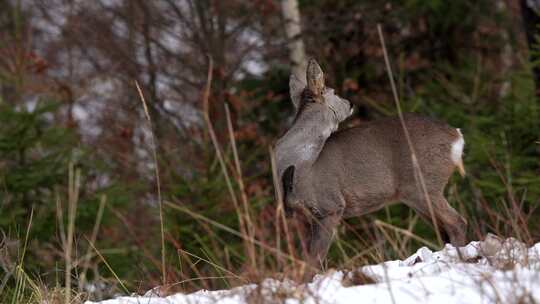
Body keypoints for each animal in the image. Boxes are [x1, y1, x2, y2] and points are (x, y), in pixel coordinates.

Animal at [276, 58, 466, 268]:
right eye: (334, 92)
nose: (350, 103)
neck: (300, 161)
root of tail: (456, 136)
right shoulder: (305, 217)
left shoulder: (330, 205)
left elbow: (314, 260)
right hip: (415, 194)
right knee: (445, 228)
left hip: (424, 183)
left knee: (457, 222)